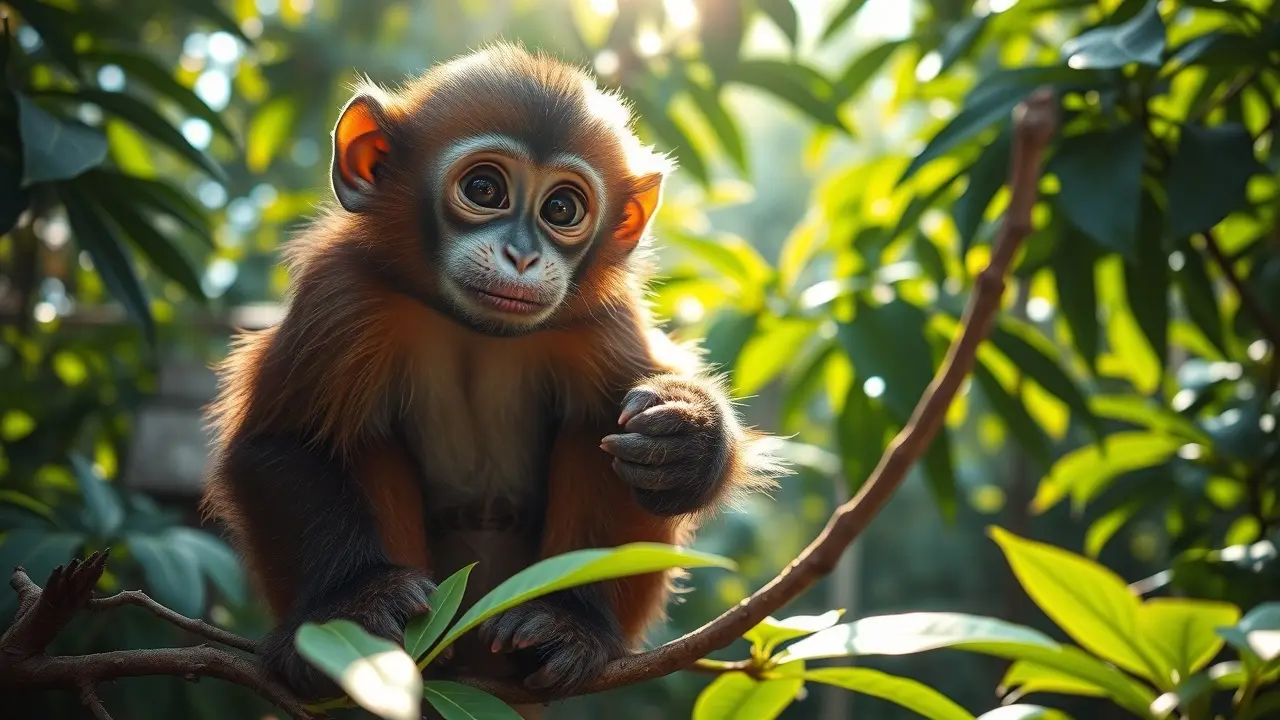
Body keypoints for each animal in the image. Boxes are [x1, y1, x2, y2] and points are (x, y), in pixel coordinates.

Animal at [200, 43, 783, 710]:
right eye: (484, 188)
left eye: (561, 208)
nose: (522, 256)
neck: (472, 325)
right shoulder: (343, 293)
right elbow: (281, 442)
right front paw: (354, 602)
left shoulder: (599, 321)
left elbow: (626, 433)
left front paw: (691, 441)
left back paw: (569, 625)